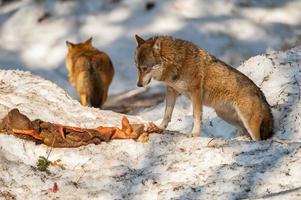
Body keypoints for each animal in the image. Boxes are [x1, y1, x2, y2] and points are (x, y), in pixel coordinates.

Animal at [134, 34, 272, 141]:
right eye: (137, 67)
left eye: (145, 68)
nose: (138, 85)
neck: (177, 62)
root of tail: (261, 93)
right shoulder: (171, 90)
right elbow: (167, 114)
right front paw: (160, 128)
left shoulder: (195, 92)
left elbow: (196, 116)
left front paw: (194, 134)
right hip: (226, 116)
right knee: (244, 132)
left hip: (247, 123)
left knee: (258, 139)